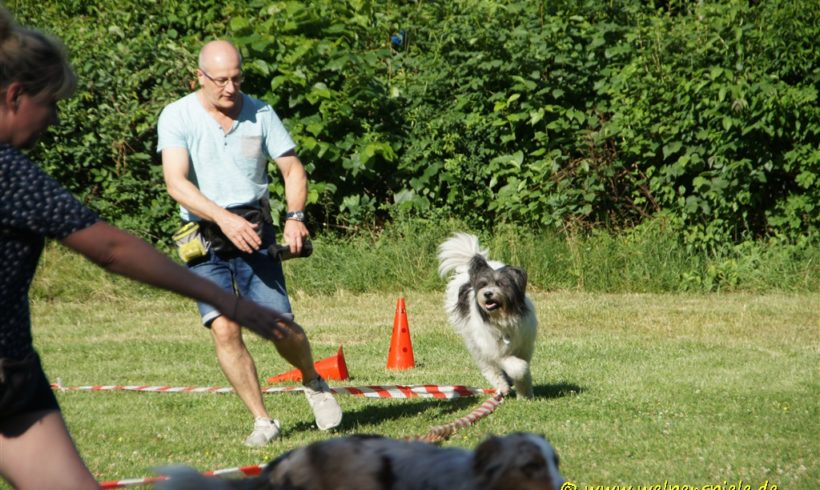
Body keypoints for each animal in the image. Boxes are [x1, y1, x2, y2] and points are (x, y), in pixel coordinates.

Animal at [436, 234, 540, 398]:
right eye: (483, 284)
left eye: (501, 283)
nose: (487, 294)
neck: (502, 317)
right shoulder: (494, 350)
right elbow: (517, 367)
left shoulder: (524, 346)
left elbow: (524, 370)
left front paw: (525, 392)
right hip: (475, 344)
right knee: (489, 368)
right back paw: (502, 386)